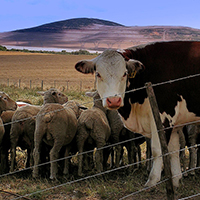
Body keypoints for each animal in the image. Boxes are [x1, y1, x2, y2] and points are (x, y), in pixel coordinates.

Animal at [74, 41, 200, 188]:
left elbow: (158, 150)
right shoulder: (174, 123)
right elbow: (173, 150)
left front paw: (152, 181)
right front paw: (175, 182)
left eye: (125, 73)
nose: (114, 100)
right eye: (98, 74)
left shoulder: (163, 118)